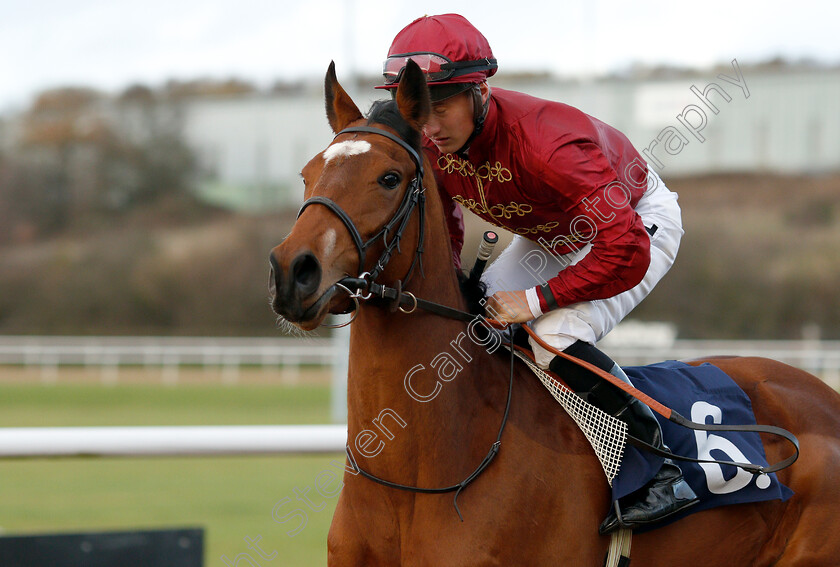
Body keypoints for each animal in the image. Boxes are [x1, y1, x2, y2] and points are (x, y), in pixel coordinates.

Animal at [270, 60, 840, 564]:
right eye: (306, 174)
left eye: (389, 178)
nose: (291, 271)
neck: (412, 481)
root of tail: (821, 396)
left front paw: (513, 307)